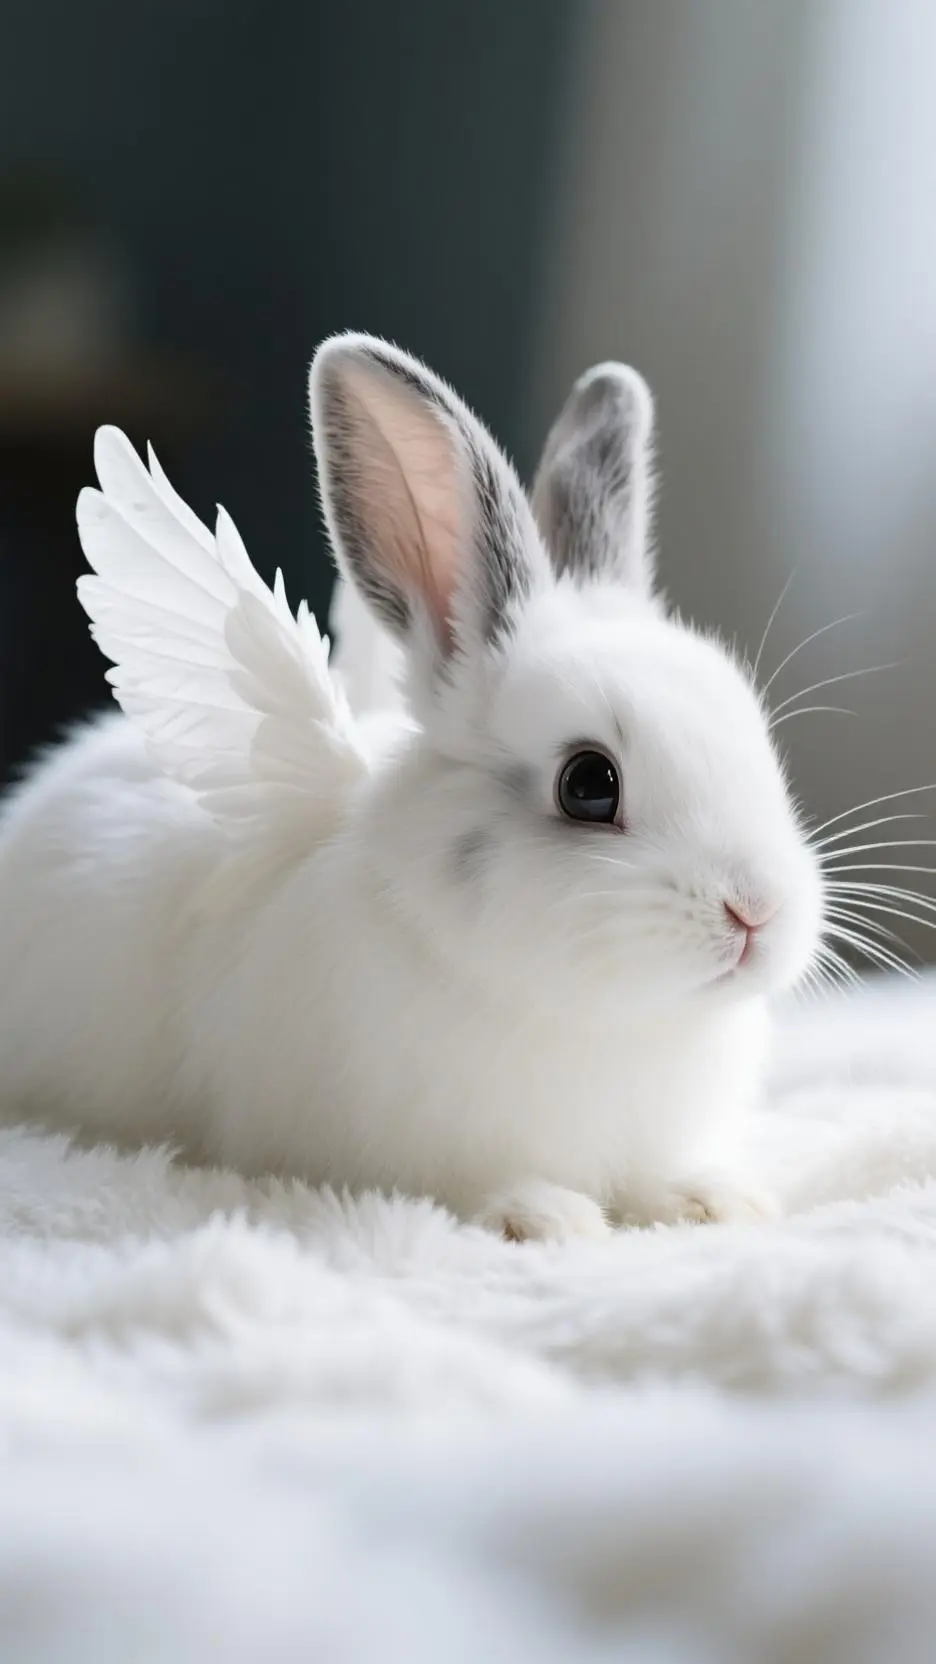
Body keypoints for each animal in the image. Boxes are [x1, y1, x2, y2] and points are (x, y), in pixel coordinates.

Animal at [0, 334, 824, 1241]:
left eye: (758, 741)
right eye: (588, 785)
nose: (757, 911)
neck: (611, 1018)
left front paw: (715, 1202)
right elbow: (478, 1185)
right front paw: (548, 1217)